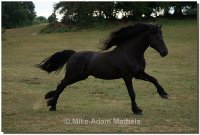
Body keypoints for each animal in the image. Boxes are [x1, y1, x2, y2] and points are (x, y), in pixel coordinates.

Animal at [38, 23, 169, 115]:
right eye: (157, 37)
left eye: (162, 36)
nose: (165, 53)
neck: (130, 53)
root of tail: (73, 54)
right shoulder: (127, 76)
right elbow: (132, 93)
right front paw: (136, 110)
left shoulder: (138, 74)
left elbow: (154, 79)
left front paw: (164, 94)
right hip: (73, 76)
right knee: (61, 86)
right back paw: (52, 106)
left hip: (79, 77)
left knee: (60, 85)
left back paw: (50, 100)